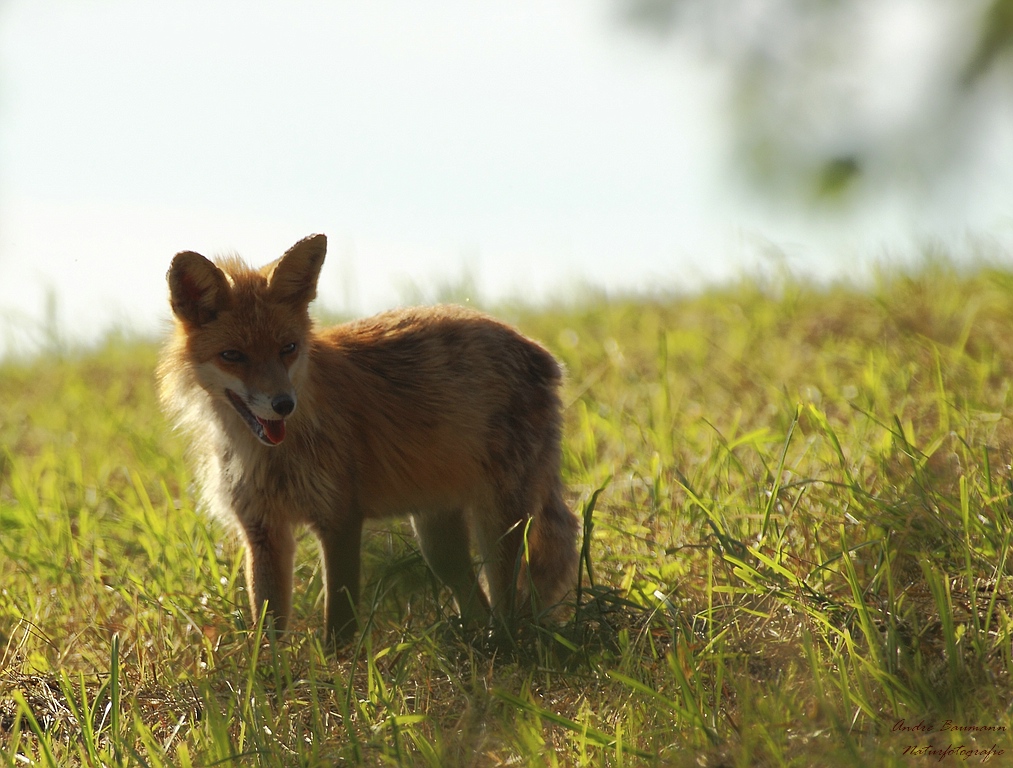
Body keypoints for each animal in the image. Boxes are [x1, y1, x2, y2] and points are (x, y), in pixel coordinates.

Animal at [157, 233, 579, 644]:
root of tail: (539, 350)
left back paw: (505, 646)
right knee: (477, 602)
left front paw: (338, 665)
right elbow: (268, 629)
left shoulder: (340, 519)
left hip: (498, 522)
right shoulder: (263, 530)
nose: (283, 405)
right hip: (437, 540)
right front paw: (268, 666)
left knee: (508, 606)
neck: (269, 455)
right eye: (233, 356)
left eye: (288, 348)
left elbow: (339, 625)